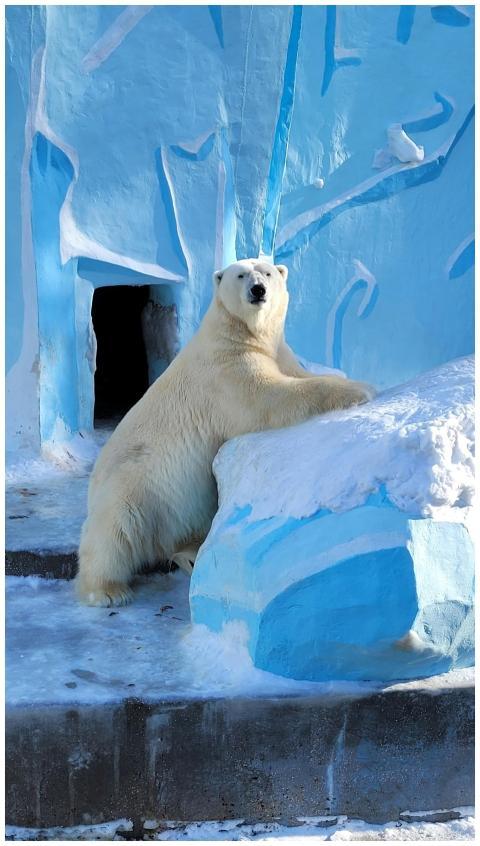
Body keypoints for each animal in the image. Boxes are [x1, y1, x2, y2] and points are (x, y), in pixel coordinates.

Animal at [76, 258, 374, 606]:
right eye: (241, 274)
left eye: (268, 273)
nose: (258, 290)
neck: (240, 333)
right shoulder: (225, 371)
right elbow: (269, 398)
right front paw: (361, 390)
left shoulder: (276, 352)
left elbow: (295, 373)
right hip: (137, 485)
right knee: (115, 529)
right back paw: (106, 591)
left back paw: (190, 555)